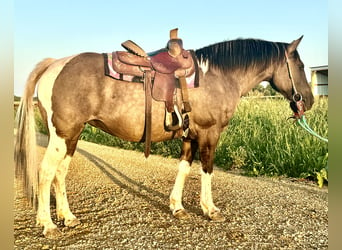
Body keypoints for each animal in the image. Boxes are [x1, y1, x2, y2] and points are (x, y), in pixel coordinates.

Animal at [14, 31, 314, 238]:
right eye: (300, 67)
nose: (308, 101)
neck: (218, 76)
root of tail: (56, 63)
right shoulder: (209, 133)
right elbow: (207, 169)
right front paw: (210, 209)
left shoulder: (189, 136)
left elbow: (183, 169)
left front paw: (177, 207)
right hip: (62, 135)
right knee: (46, 173)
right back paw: (48, 224)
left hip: (72, 137)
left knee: (60, 173)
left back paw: (67, 216)